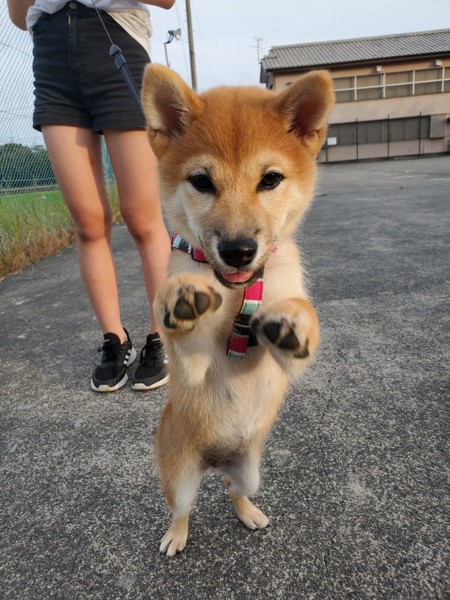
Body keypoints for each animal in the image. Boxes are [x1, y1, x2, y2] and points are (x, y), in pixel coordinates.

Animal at [141, 65, 334, 556]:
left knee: (233, 490)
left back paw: (249, 512)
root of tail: (216, 459)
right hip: (179, 475)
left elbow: (303, 314)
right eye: (201, 181)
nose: (238, 250)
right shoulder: (193, 363)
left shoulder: (286, 355)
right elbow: (182, 328)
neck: (236, 293)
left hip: (250, 470)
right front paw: (181, 298)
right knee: (182, 508)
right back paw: (176, 534)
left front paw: (293, 321)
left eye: (270, 179)